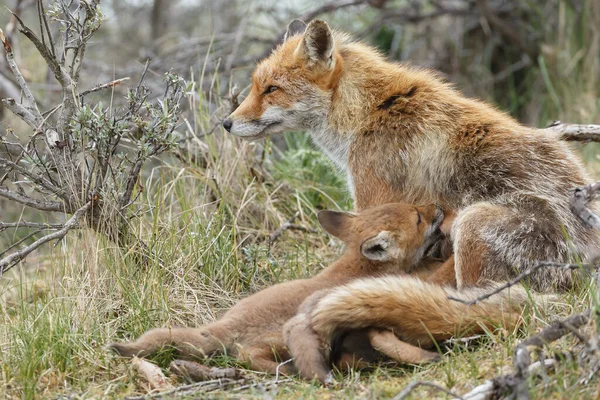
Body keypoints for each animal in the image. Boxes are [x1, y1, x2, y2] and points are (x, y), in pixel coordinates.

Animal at [109, 203, 446, 376]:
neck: (358, 267)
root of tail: (225, 325)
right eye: (419, 218)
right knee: (245, 357)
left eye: (417, 209)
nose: (440, 208)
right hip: (278, 340)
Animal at [223, 19, 596, 290]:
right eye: (255, 87)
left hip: (473, 222)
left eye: (271, 90)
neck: (367, 113)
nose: (226, 123)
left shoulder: (374, 201)